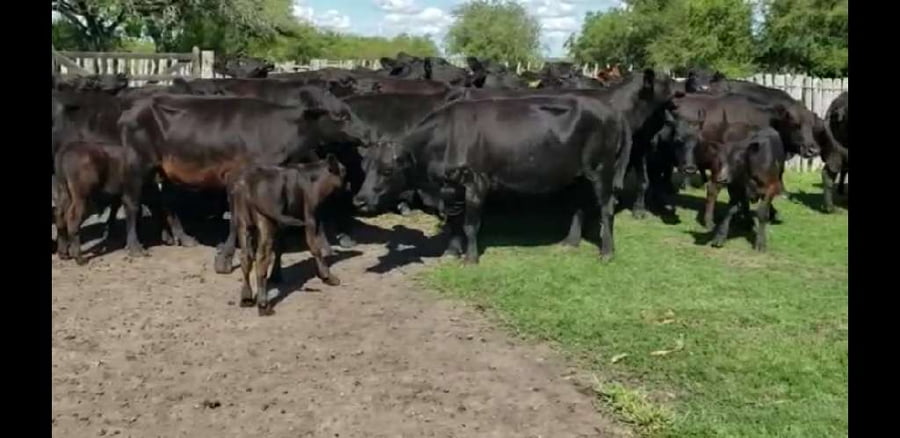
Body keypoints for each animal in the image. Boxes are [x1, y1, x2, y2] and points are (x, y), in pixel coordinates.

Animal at [117, 90, 371, 275]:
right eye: (342, 116)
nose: (367, 135)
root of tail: (134, 108)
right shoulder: (236, 179)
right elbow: (236, 219)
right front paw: (225, 260)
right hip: (137, 163)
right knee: (132, 203)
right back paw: (135, 247)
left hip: (167, 169)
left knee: (169, 202)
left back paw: (185, 238)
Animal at [230, 155, 347, 316]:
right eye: (344, 171)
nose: (348, 186)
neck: (312, 177)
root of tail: (246, 182)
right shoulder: (310, 216)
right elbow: (314, 245)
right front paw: (327, 276)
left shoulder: (283, 222)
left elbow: (280, 247)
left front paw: (276, 275)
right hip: (265, 221)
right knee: (262, 258)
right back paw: (263, 304)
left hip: (242, 223)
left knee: (245, 257)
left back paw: (246, 297)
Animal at [353, 93, 634, 264]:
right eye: (365, 167)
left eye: (387, 169)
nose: (359, 200)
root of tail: (610, 110)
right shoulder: (450, 189)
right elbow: (454, 223)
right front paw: (451, 252)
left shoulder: (477, 182)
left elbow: (470, 225)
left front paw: (470, 258)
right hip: (577, 175)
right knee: (578, 206)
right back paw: (570, 242)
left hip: (602, 169)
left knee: (606, 208)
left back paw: (607, 252)